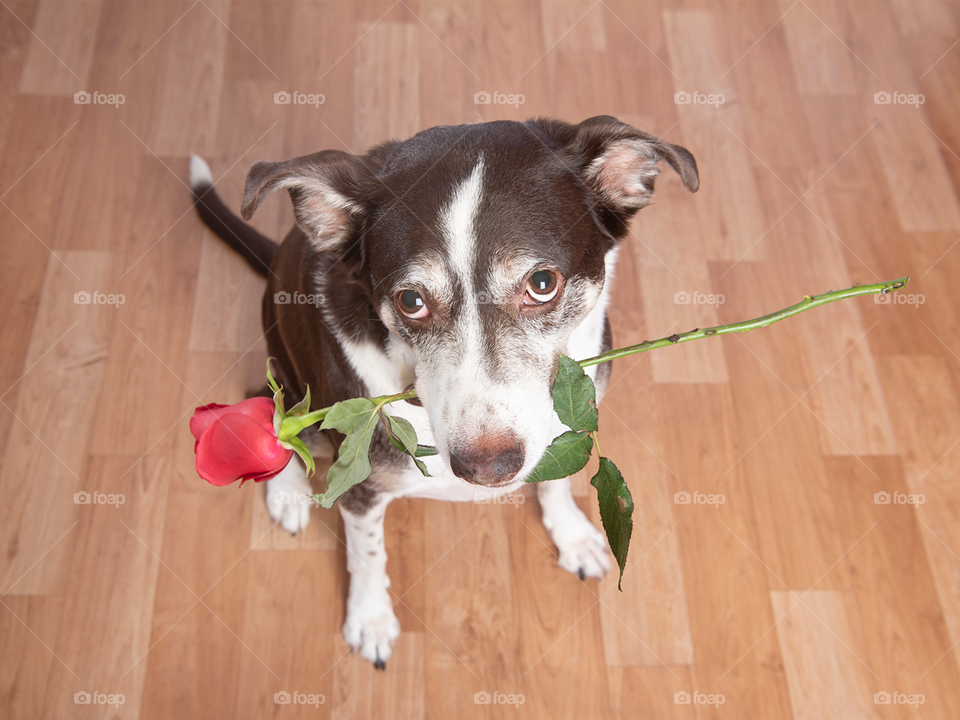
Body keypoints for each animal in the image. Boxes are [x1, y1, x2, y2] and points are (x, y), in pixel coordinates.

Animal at [189, 115, 696, 668]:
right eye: (410, 301)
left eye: (543, 283)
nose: (488, 467)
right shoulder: (361, 488)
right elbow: (366, 554)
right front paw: (370, 618)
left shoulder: (570, 428)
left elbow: (556, 481)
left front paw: (572, 535)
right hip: (290, 377)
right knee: (271, 411)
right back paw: (285, 489)